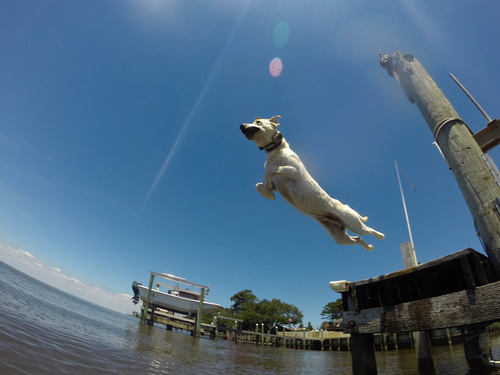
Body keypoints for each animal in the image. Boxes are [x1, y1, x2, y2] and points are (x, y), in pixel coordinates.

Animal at [240, 116, 384, 251]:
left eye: (258, 122)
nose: (241, 125)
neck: (277, 152)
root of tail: (345, 206)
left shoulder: (294, 171)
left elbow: (270, 170)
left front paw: (267, 188)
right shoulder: (277, 183)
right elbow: (259, 184)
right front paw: (267, 192)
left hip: (354, 224)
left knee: (368, 230)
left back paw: (380, 235)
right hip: (339, 236)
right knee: (357, 239)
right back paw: (369, 247)